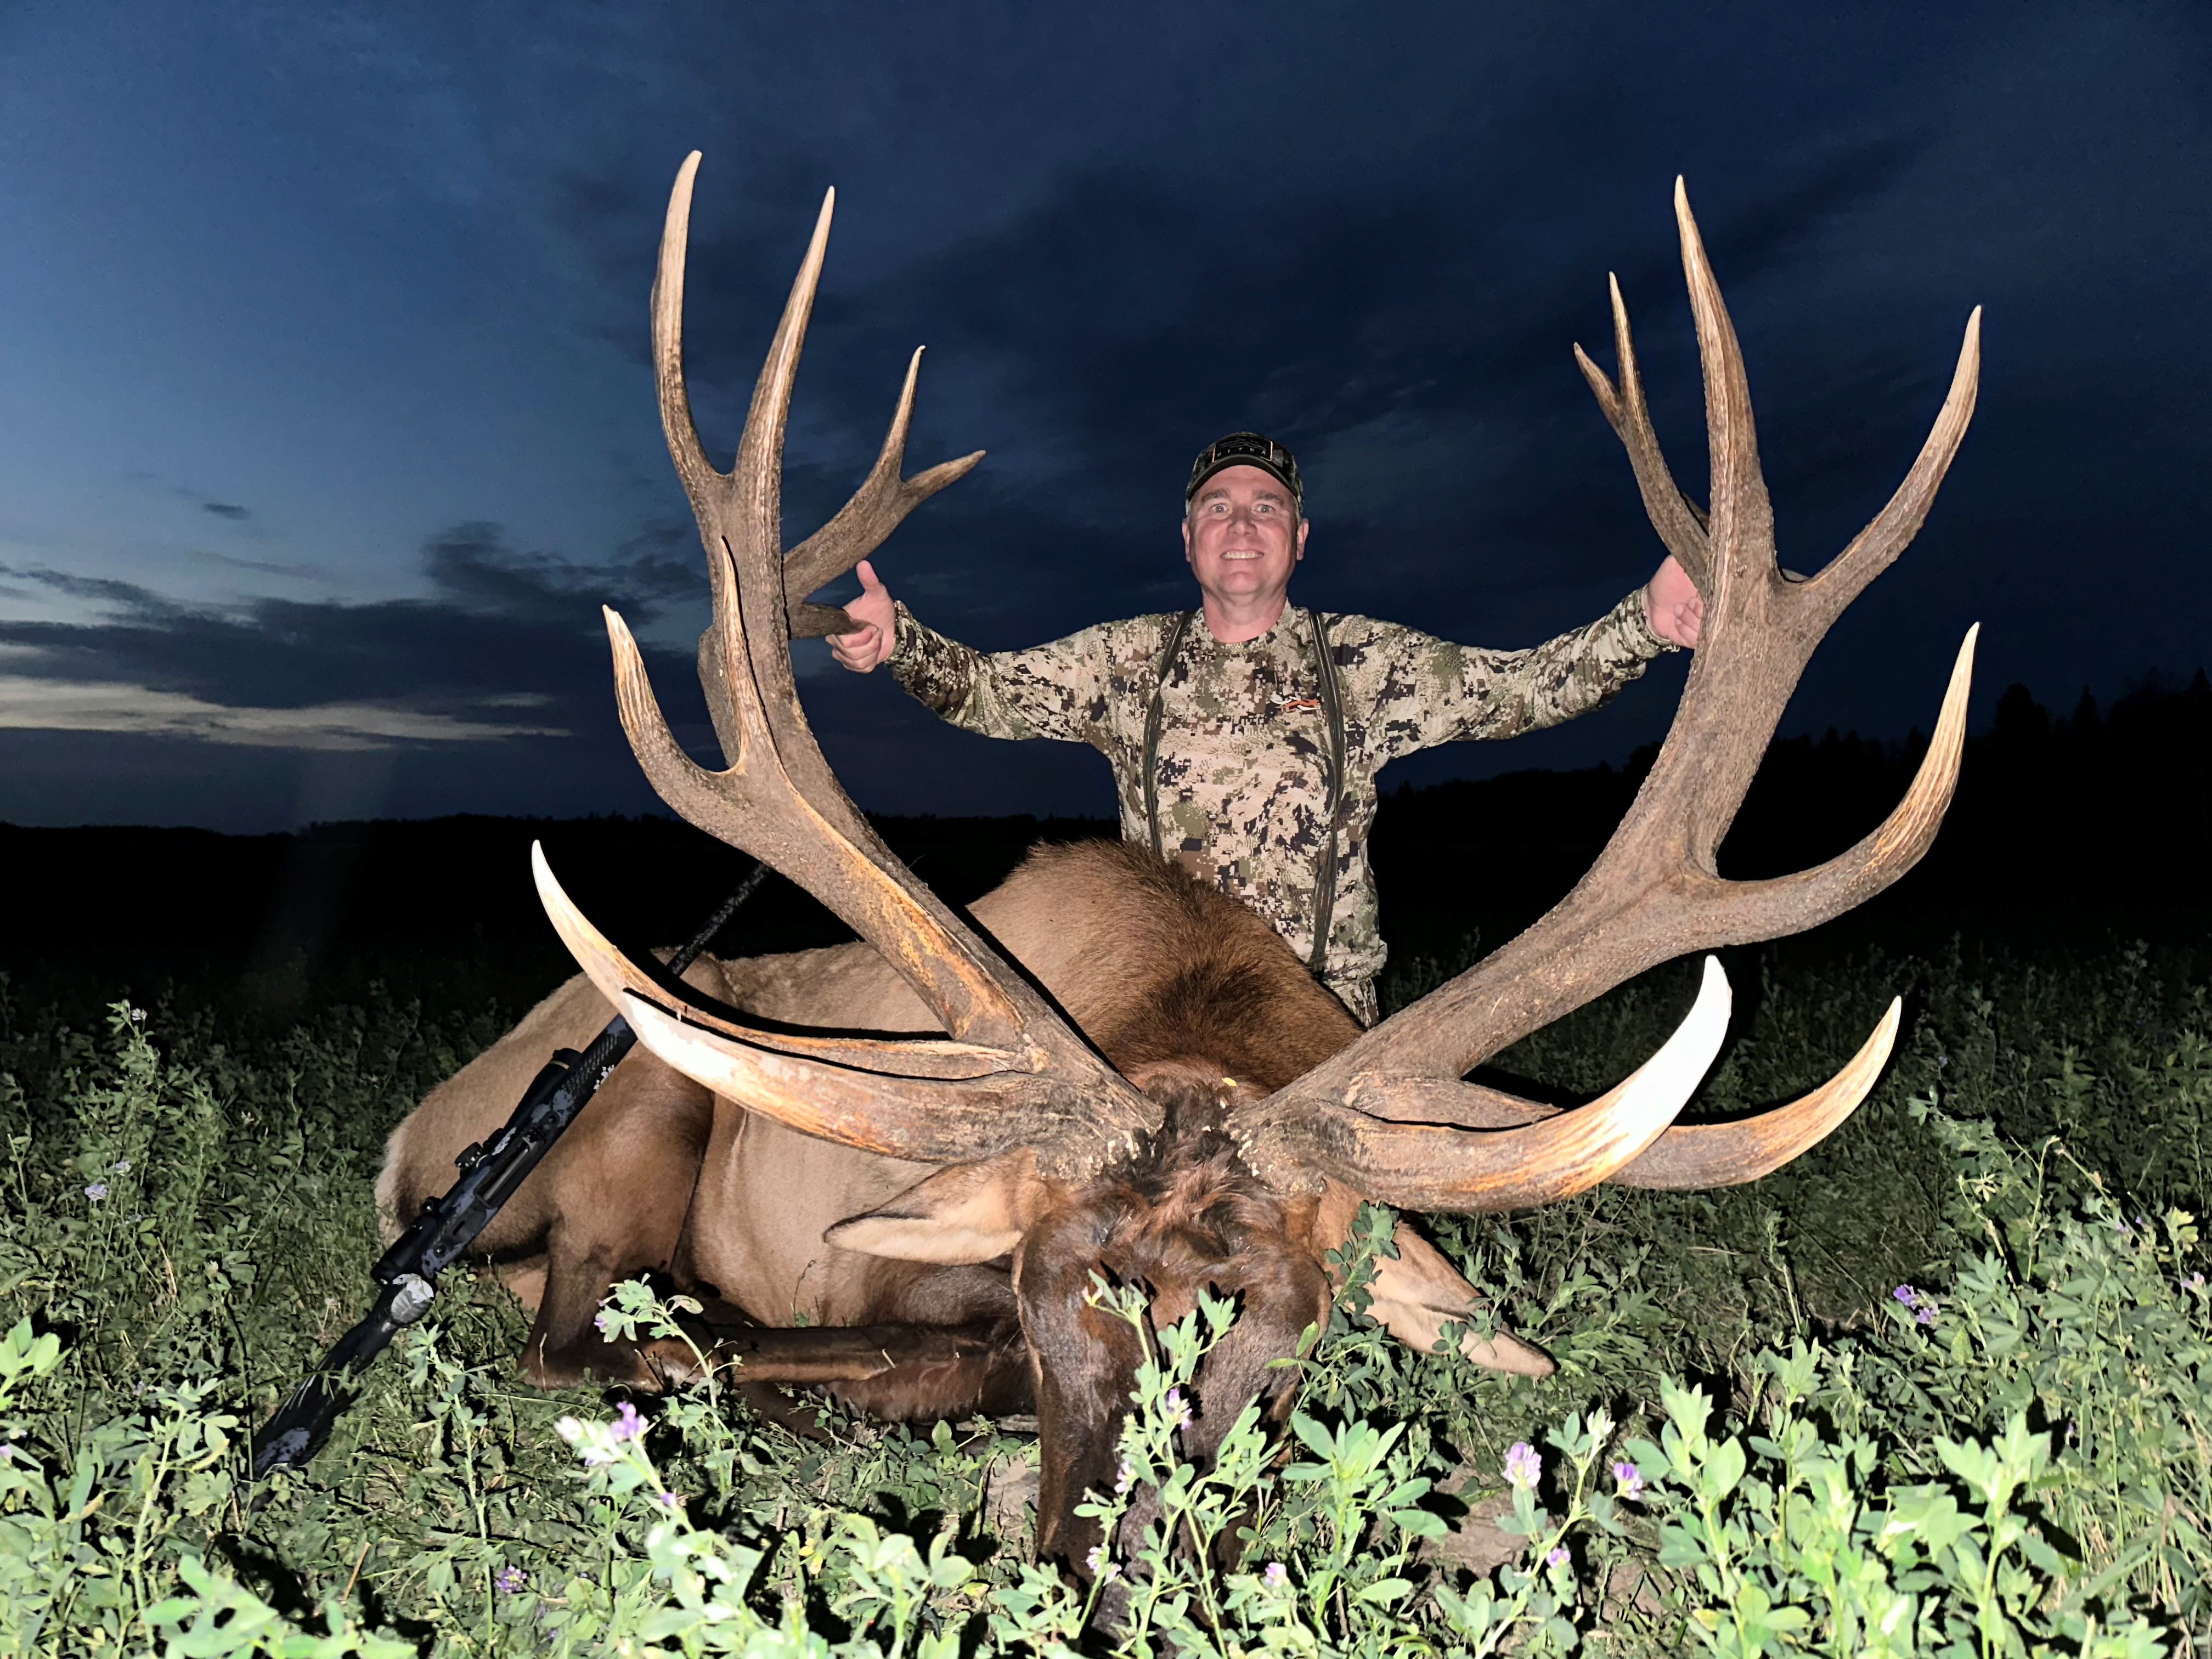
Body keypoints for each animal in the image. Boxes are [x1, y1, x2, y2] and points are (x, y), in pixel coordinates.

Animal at [379, 154, 1980, 1579]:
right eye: (1057, 1299)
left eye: (1282, 1323)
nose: (1112, 1579)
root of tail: (405, 1149)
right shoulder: (887, 1252)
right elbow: (894, 1345)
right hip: (637, 1098)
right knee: (562, 1333)